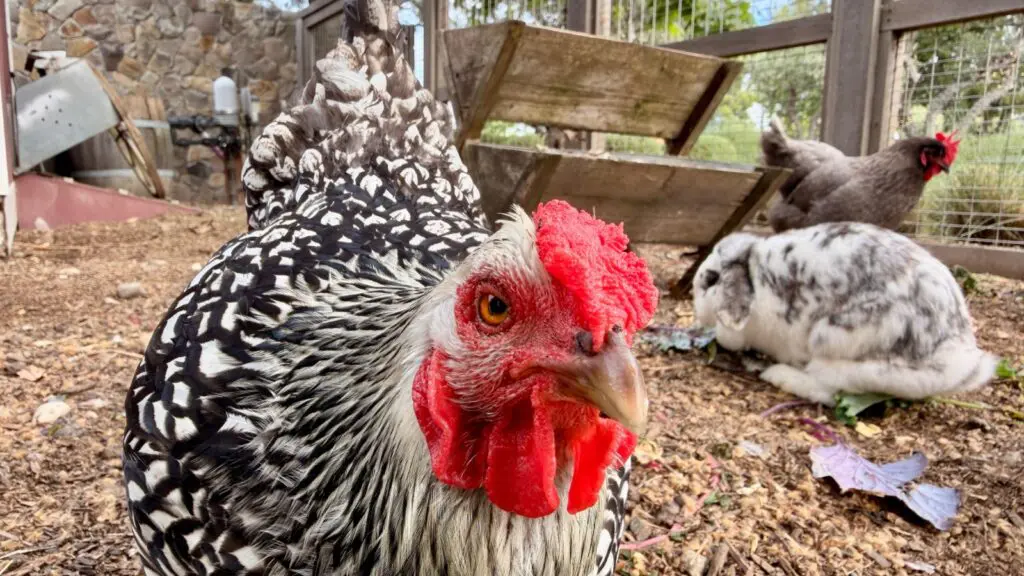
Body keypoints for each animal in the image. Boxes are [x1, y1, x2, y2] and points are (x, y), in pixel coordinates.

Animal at [691, 222, 998, 406]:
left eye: (712, 279)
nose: (696, 304)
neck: (757, 277)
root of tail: (955, 359)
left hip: (835, 339)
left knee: (828, 388)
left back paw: (777, 374)